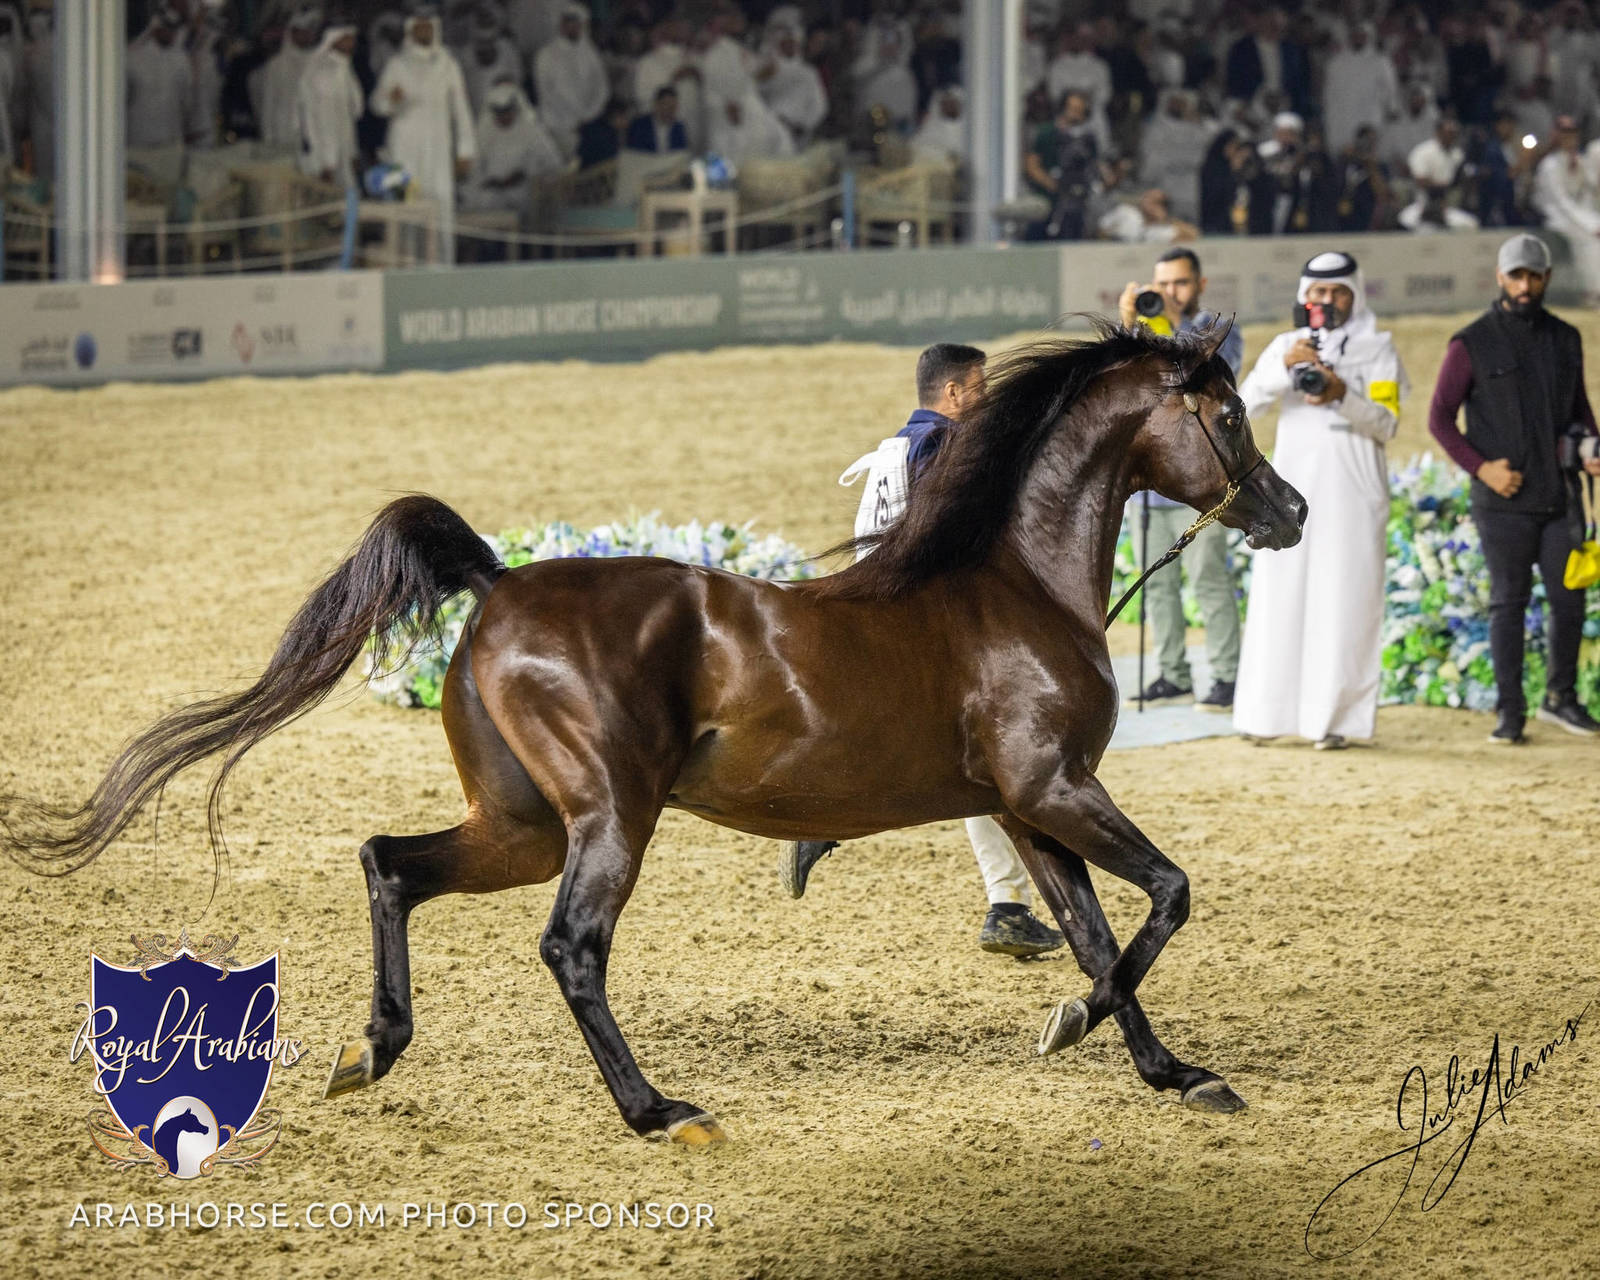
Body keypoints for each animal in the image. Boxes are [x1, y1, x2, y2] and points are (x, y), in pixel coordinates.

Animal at [2, 322, 1305, 1146]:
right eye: (1228, 411)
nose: (1288, 509)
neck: (1011, 584)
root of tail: (499, 587)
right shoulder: (1053, 787)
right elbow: (1164, 897)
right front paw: (1086, 1029)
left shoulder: (1031, 807)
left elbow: (1096, 932)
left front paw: (1169, 1069)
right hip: (608, 816)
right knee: (571, 946)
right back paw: (657, 1110)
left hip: (522, 822)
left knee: (389, 862)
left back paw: (374, 1048)